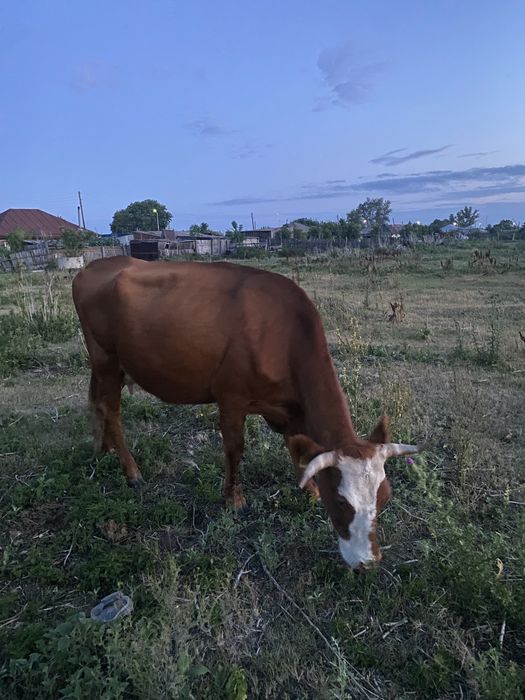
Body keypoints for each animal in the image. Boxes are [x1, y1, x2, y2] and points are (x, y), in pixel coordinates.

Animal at [72, 256, 420, 571]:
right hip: (106, 359)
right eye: (341, 502)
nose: (368, 563)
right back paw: (132, 471)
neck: (282, 333)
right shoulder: (231, 397)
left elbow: (298, 448)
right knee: (111, 411)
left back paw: (102, 448)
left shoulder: (289, 408)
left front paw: (309, 489)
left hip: (107, 367)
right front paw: (234, 499)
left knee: (97, 404)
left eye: (384, 498)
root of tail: (95, 265)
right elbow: (235, 449)